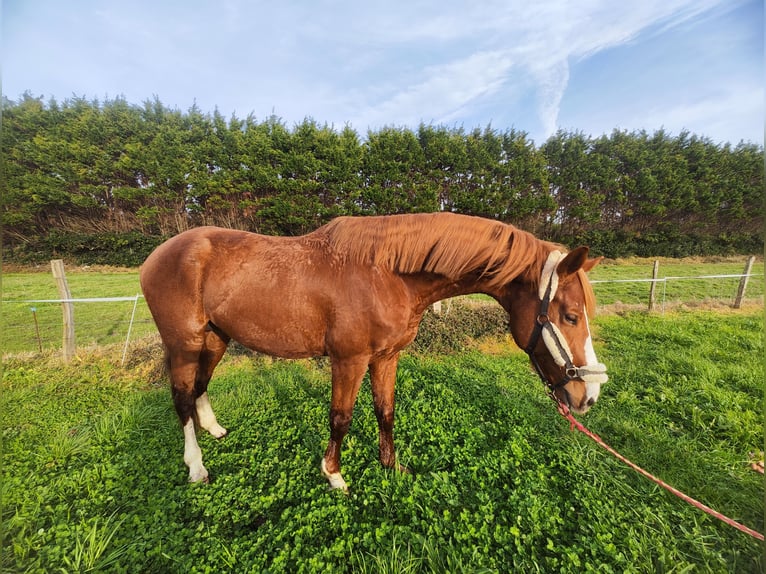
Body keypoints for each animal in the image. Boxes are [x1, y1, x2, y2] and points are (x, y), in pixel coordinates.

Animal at [141, 214, 608, 492]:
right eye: (570, 315)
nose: (588, 396)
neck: (389, 274)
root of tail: (156, 256)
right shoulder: (348, 359)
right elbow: (341, 417)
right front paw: (334, 475)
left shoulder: (386, 357)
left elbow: (386, 410)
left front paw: (391, 466)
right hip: (184, 345)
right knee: (181, 398)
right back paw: (196, 466)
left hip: (215, 338)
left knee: (200, 387)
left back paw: (215, 430)